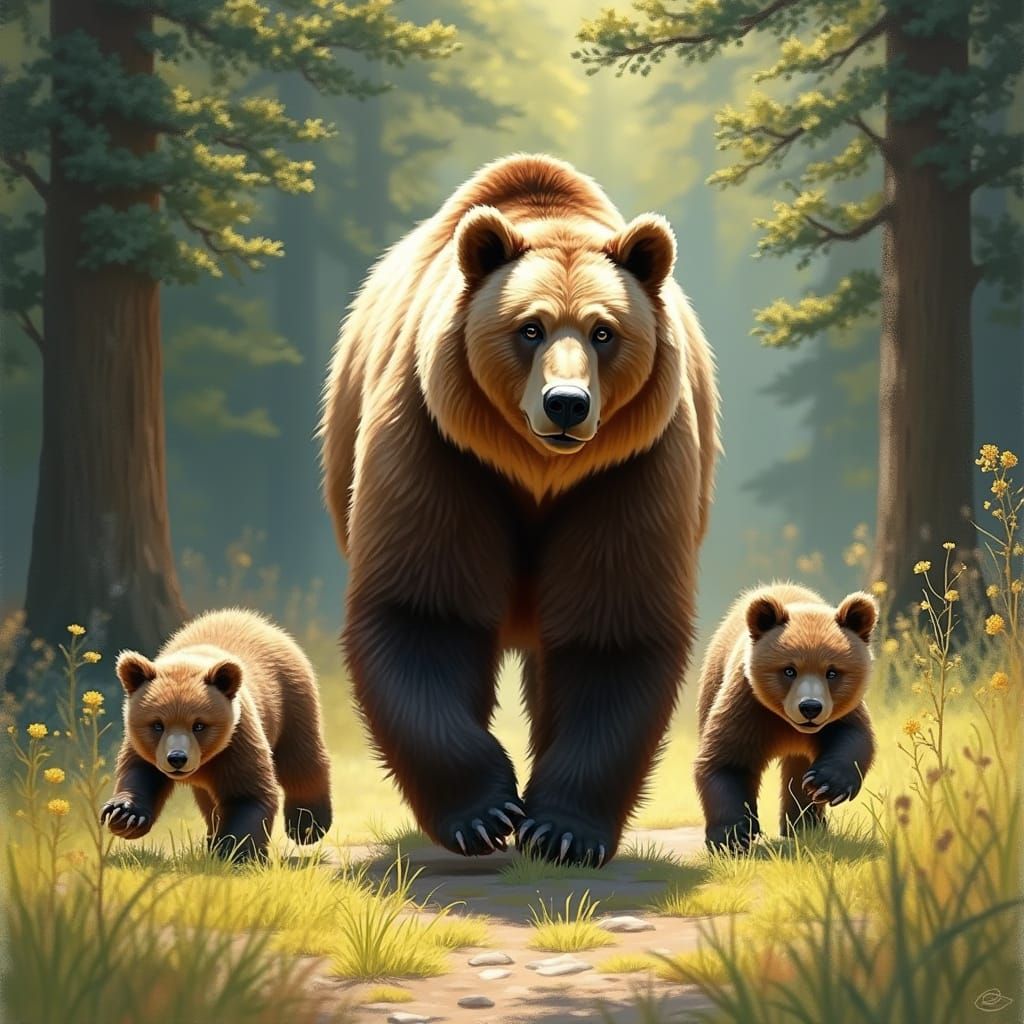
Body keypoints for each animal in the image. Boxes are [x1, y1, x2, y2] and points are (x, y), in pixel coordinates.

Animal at [101, 608, 333, 861]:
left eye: (199, 725)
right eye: (157, 725)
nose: (177, 759)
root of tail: (260, 622)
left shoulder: (237, 740)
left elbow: (248, 793)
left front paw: (235, 850)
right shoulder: (144, 746)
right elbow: (140, 772)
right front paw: (124, 815)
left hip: (291, 699)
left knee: (299, 760)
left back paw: (308, 826)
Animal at [320, 153, 719, 865]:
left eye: (603, 331)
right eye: (529, 328)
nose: (566, 403)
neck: (539, 472)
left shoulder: (629, 468)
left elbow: (611, 627)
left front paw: (560, 829)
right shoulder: (441, 444)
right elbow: (426, 611)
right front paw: (486, 813)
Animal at [695, 582, 877, 851]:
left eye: (832, 672)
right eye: (789, 670)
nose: (810, 707)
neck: (788, 725)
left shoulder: (840, 713)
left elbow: (854, 736)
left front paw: (825, 784)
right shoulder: (748, 706)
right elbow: (727, 760)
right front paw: (732, 836)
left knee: (797, 767)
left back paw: (806, 825)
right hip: (713, 681)